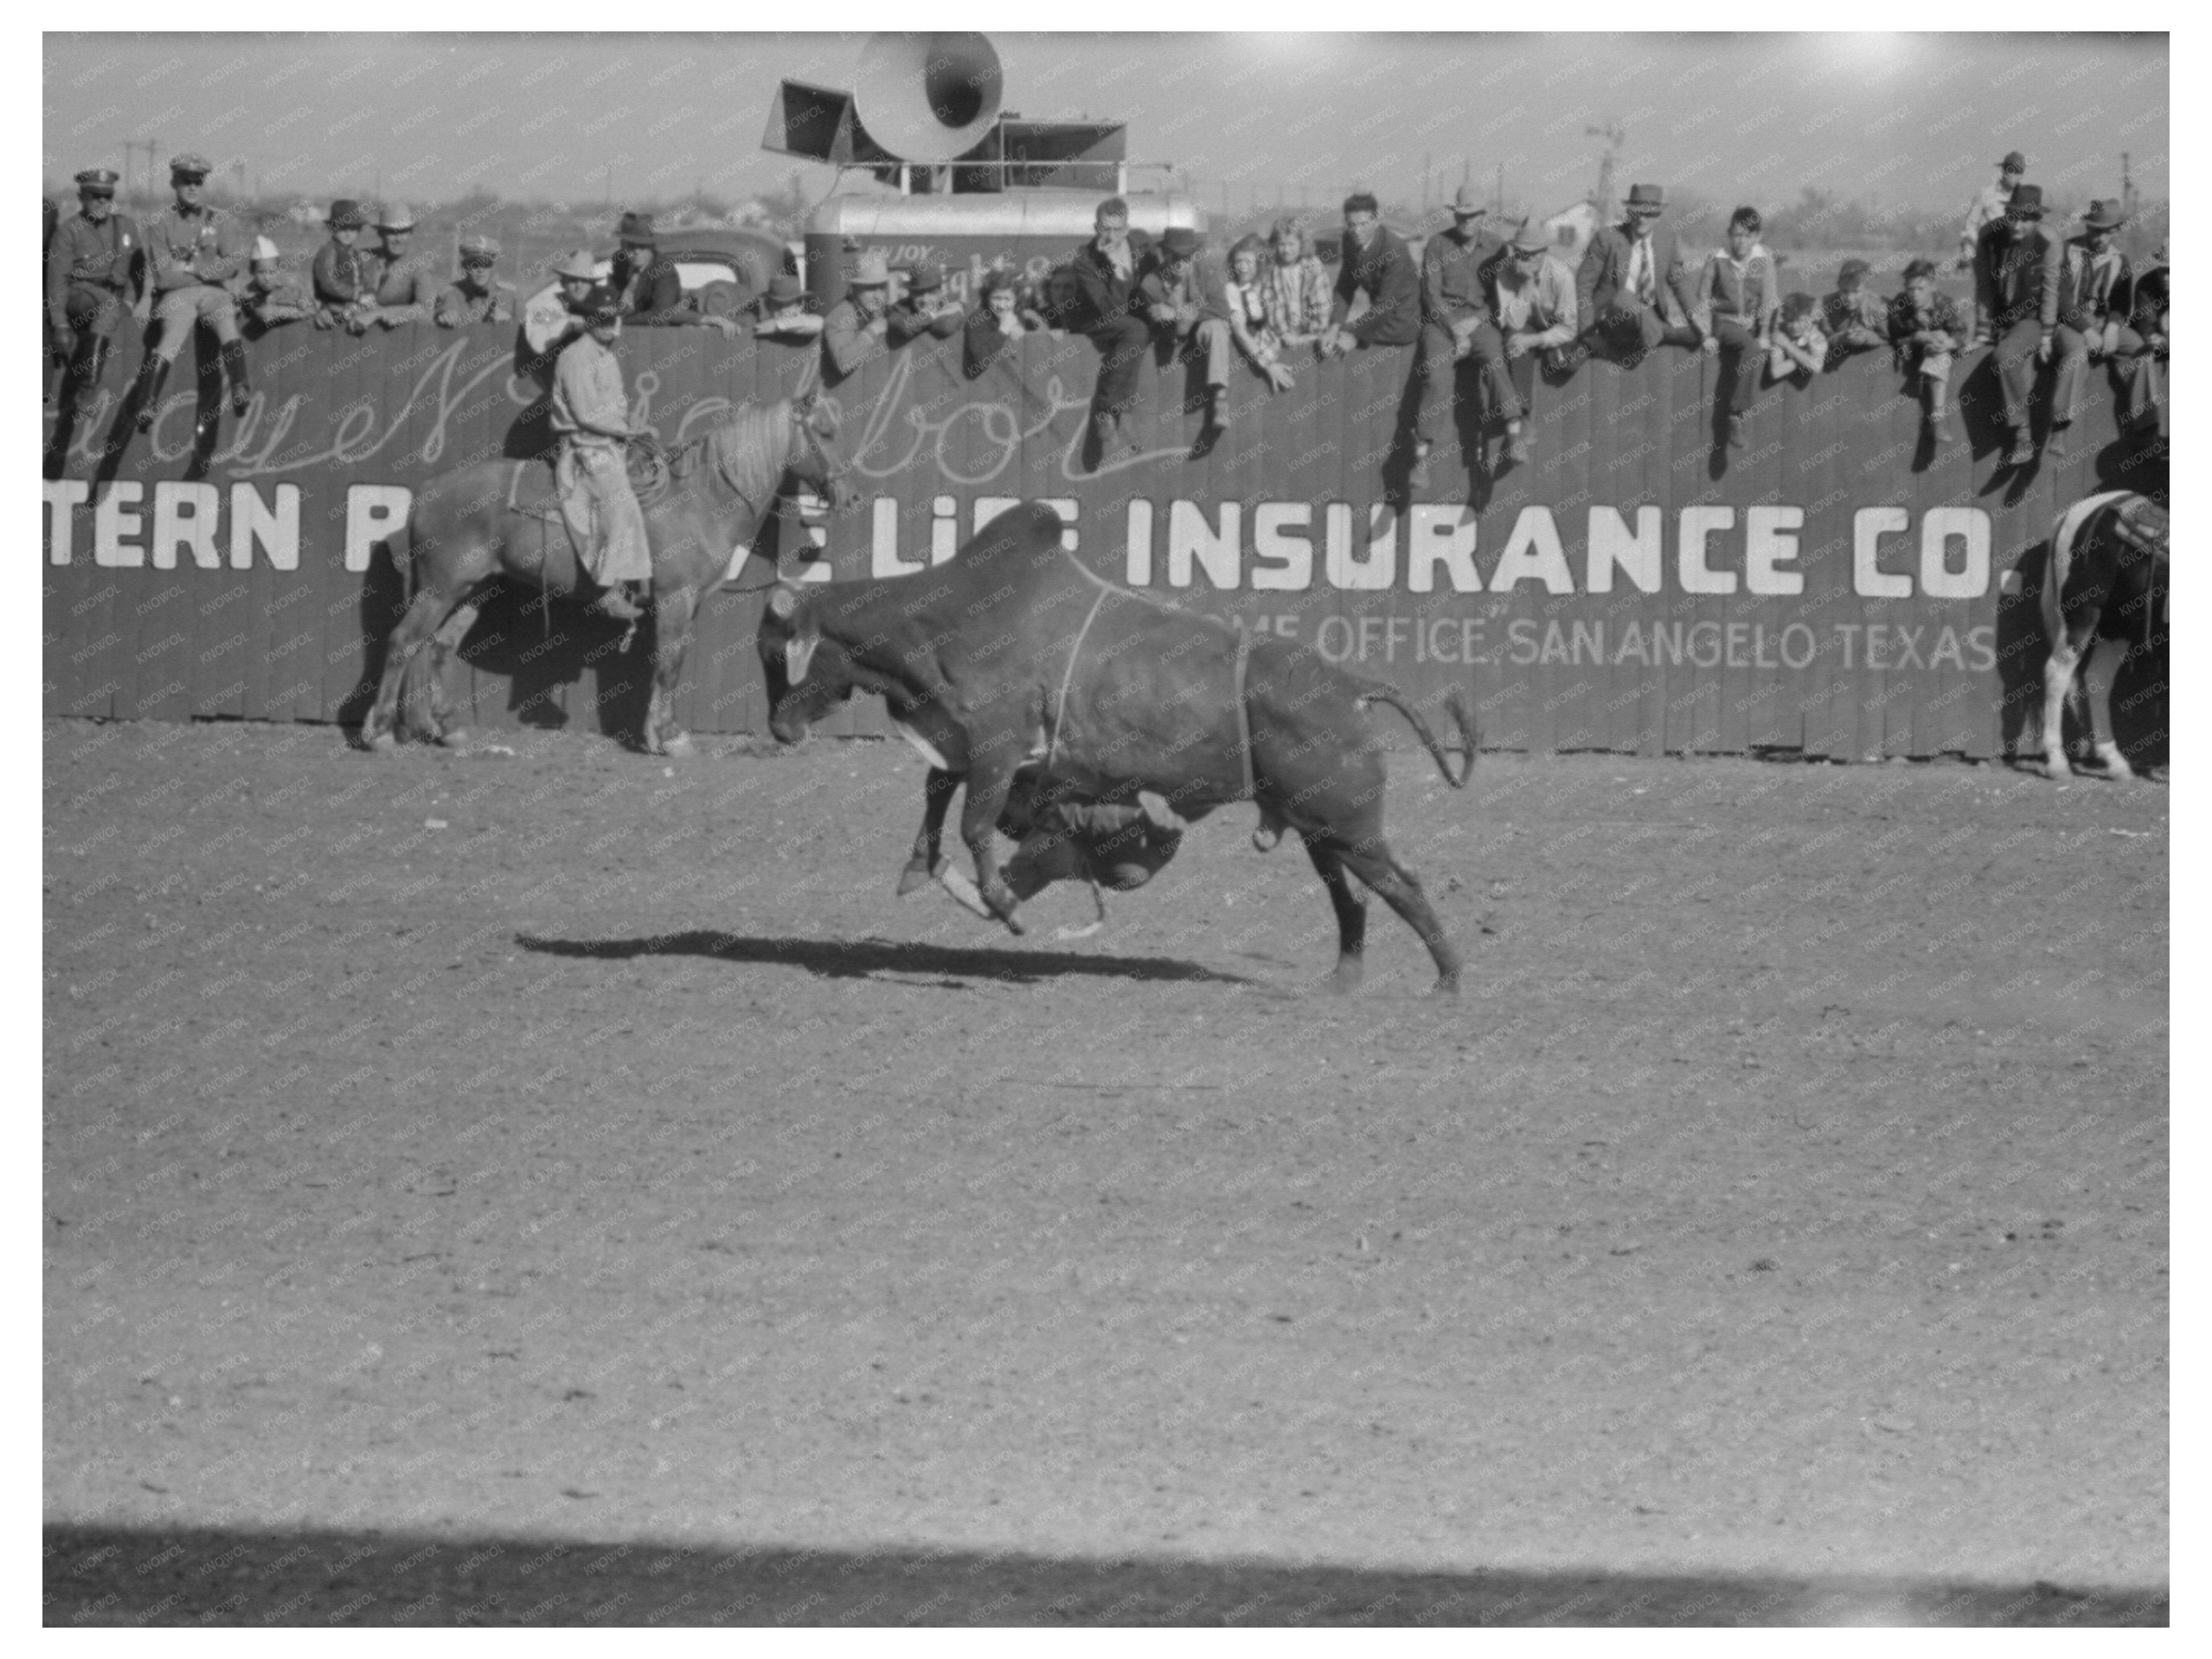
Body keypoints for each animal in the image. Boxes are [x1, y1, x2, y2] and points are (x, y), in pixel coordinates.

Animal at [363, 394, 854, 756]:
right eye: (824, 432)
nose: (848, 495)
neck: (700, 499)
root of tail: (430, 489)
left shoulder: (686, 603)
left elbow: (665, 662)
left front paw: (656, 734)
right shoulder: (675, 598)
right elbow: (670, 664)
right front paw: (670, 737)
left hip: (470, 589)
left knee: (438, 648)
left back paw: (444, 729)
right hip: (439, 589)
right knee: (404, 642)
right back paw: (379, 732)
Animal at [752, 500, 1477, 995]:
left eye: (774, 652)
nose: (780, 730)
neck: (944, 620)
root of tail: (1352, 685)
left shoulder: (995, 747)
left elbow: (973, 825)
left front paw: (1002, 905)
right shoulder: (963, 747)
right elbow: (937, 797)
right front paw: (919, 869)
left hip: (1346, 823)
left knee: (1398, 882)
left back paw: (1447, 981)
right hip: (1318, 827)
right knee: (1352, 896)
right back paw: (1344, 979)